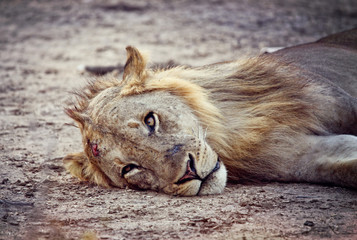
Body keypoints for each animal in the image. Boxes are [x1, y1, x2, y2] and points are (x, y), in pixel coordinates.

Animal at [64, 29, 356, 196]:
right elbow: (345, 169)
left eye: (150, 120)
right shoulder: (300, 158)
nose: (189, 173)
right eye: (129, 169)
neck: (238, 138)